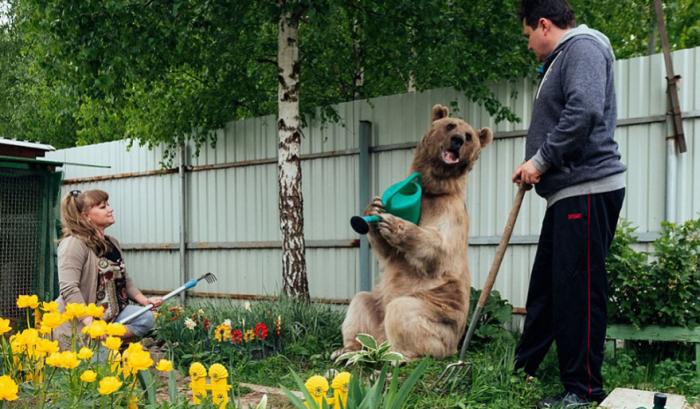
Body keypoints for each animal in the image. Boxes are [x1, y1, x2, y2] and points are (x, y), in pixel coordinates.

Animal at [338, 104, 492, 356]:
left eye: (469, 136)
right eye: (450, 125)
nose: (457, 140)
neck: (433, 188)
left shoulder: (450, 211)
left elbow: (439, 248)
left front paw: (396, 224)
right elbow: (388, 252)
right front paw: (374, 207)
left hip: (437, 316)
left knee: (403, 311)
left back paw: (399, 355)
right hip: (378, 306)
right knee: (360, 302)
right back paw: (348, 349)